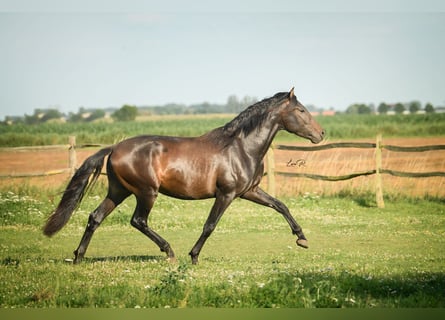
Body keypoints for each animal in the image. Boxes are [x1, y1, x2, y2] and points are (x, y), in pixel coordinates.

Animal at [43, 88, 324, 264]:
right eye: (301, 110)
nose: (321, 134)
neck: (242, 147)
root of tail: (114, 148)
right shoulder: (227, 194)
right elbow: (210, 225)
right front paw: (194, 256)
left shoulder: (249, 191)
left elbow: (280, 206)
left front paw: (302, 238)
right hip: (146, 192)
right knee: (138, 221)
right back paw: (169, 251)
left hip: (118, 191)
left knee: (95, 217)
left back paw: (78, 257)